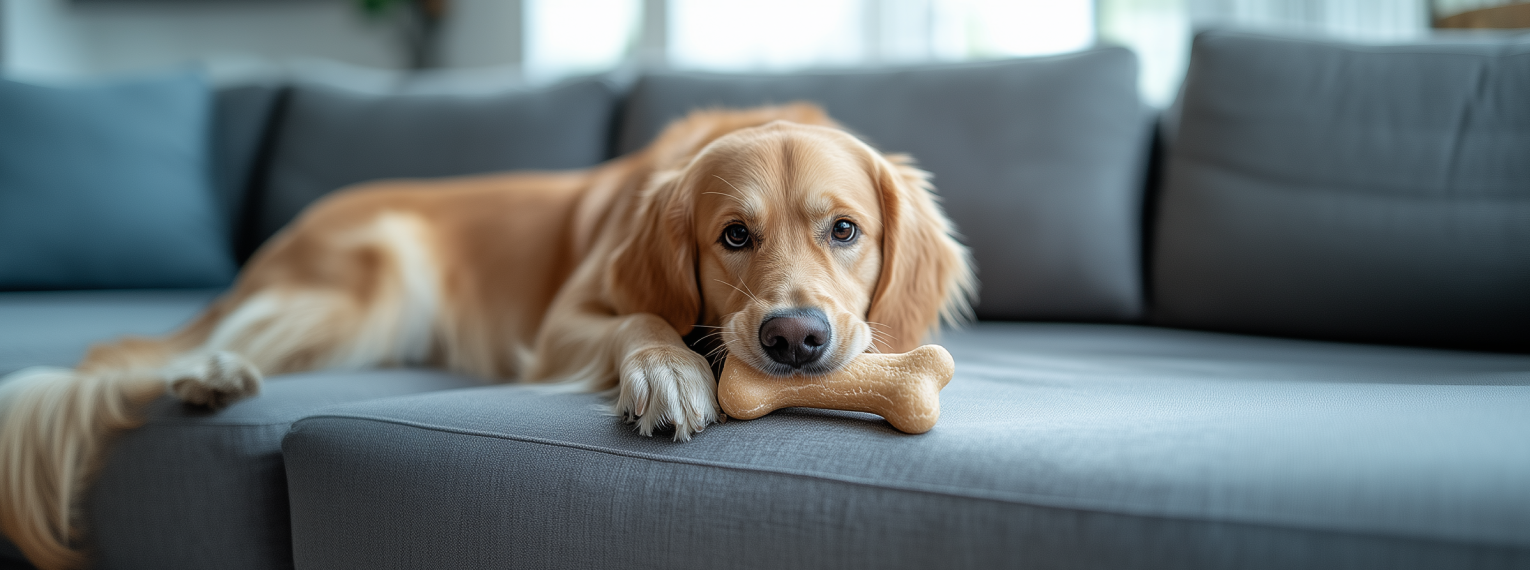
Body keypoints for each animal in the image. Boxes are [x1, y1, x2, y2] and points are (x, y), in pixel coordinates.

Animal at [0, 103, 973, 568]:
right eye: (734, 235)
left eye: (844, 231)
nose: (795, 340)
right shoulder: (566, 321)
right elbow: (640, 318)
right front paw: (668, 375)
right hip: (368, 284)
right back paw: (213, 371)